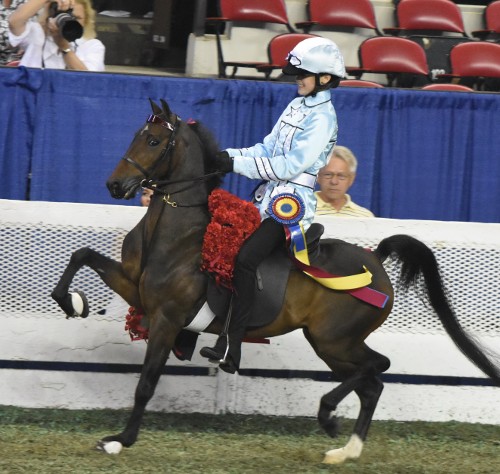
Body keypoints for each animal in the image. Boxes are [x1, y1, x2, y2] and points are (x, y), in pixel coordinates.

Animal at [51, 98, 500, 464]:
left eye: (154, 141)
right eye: (137, 136)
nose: (115, 185)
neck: (176, 233)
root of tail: (375, 257)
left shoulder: (167, 318)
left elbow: (146, 383)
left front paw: (119, 440)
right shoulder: (136, 288)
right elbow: (81, 254)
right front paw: (72, 301)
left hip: (335, 340)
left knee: (379, 367)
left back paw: (328, 415)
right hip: (332, 345)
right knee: (371, 384)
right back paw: (345, 449)